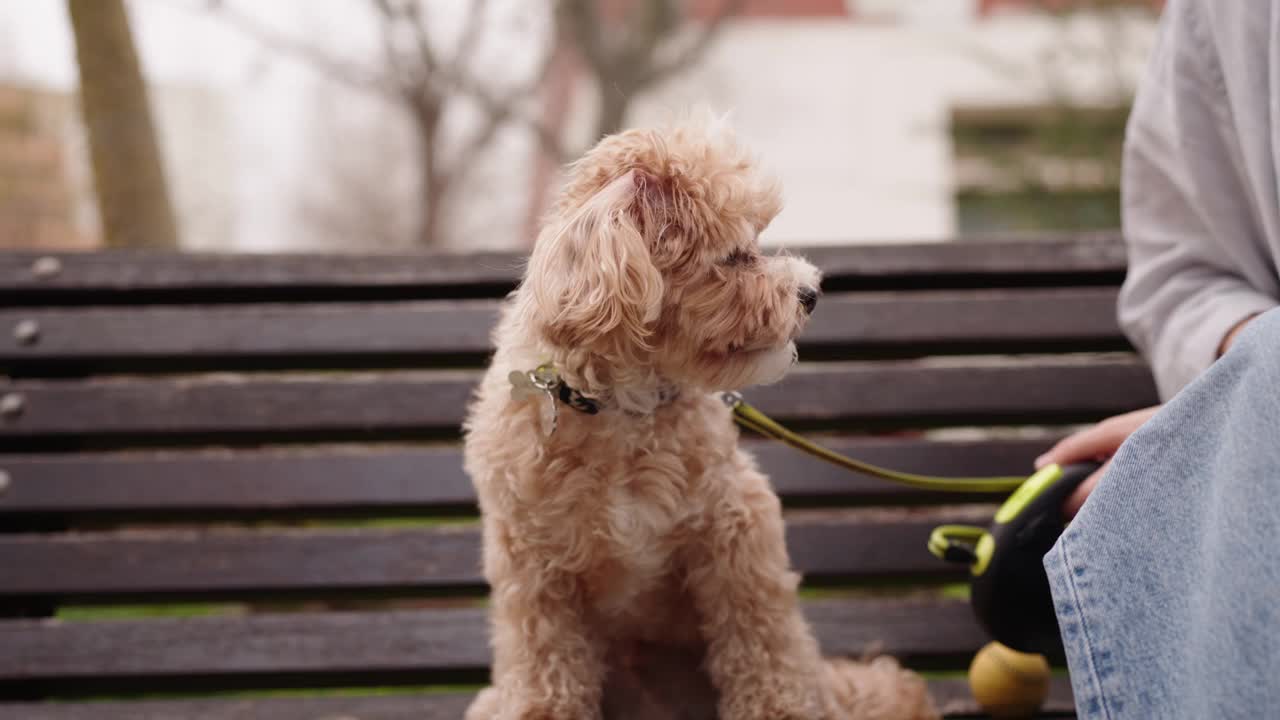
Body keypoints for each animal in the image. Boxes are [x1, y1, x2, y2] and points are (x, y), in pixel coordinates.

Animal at [463, 110, 942, 712]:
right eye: (734, 256)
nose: (810, 293)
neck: (624, 408)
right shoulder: (532, 568)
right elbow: (544, 663)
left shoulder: (736, 526)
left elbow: (762, 644)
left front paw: (779, 708)